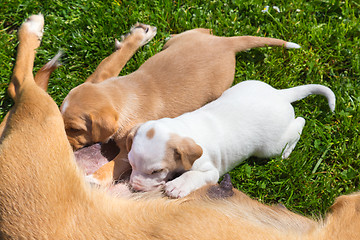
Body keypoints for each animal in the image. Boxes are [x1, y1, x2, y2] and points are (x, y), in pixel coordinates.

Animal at [61, 20, 300, 186]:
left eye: (75, 129)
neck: (123, 94)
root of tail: (227, 43)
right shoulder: (102, 77)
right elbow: (113, 59)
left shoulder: (129, 145)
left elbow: (116, 163)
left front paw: (94, 178)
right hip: (186, 39)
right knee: (203, 30)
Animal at [126, 80, 334, 197]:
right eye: (132, 164)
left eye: (156, 171)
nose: (133, 186)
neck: (181, 129)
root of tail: (279, 94)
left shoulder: (211, 171)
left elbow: (193, 175)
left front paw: (178, 185)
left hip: (272, 146)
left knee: (299, 123)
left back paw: (288, 150)